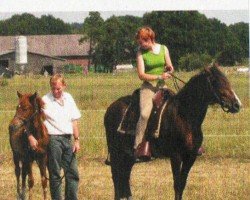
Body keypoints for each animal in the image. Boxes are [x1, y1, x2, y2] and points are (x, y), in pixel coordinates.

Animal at [104, 66, 242, 200]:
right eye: (216, 81)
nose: (237, 104)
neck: (185, 116)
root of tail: (110, 108)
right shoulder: (176, 156)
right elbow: (177, 184)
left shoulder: (190, 156)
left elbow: (182, 184)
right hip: (116, 153)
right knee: (116, 177)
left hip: (128, 155)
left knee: (124, 176)